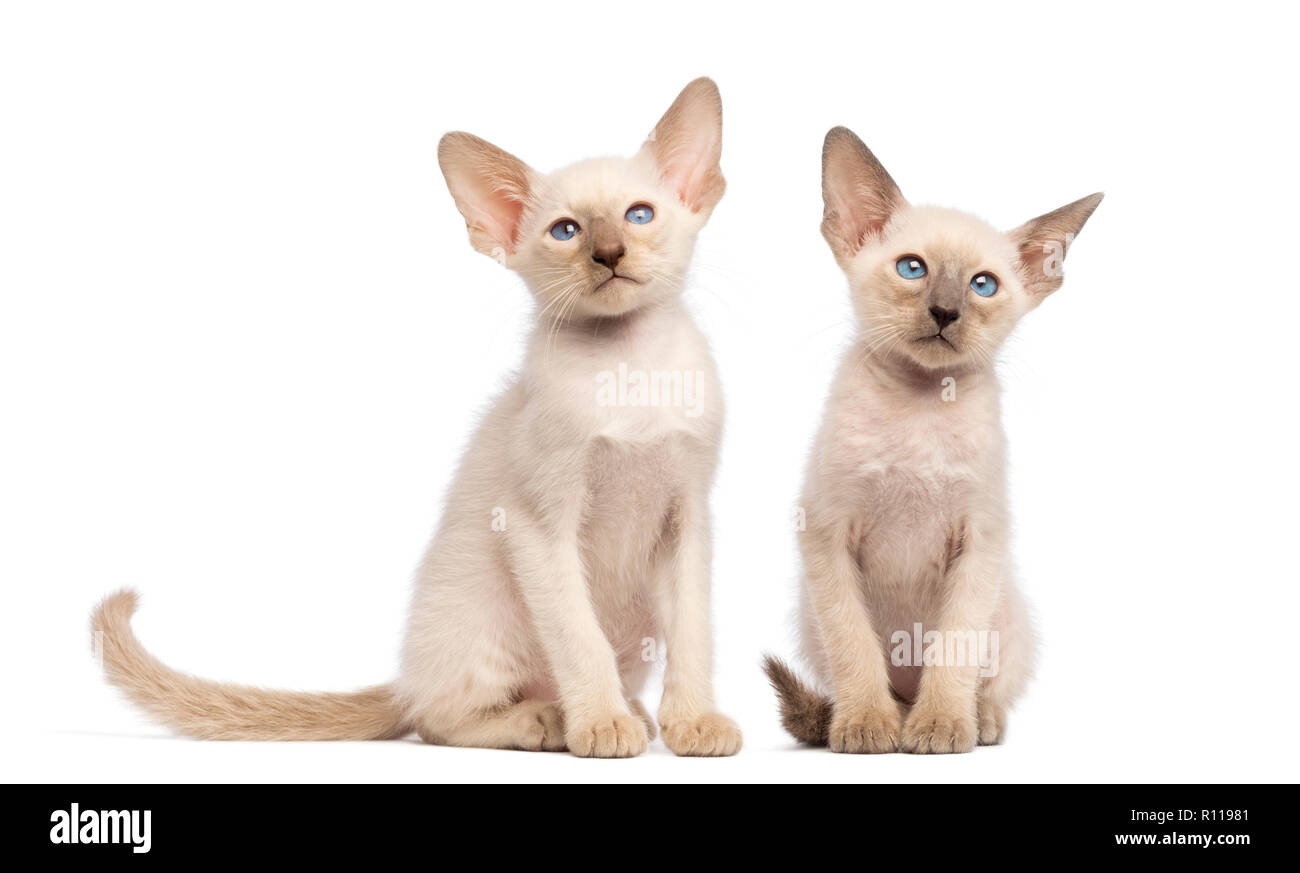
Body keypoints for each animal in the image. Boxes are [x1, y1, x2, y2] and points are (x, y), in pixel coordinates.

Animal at [89, 76, 743, 758]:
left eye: (639, 215)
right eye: (565, 230)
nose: (609, 252)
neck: (629, 372)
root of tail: (406, 676)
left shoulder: (688, 516)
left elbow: (694, 633)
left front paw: (695, 723)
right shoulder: (540, 521)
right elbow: (578, 637)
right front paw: (601, 726)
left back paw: (631, 713)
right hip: (482, 613)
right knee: (438, 717)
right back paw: (549, 720)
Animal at [764, 126, 1102, 753]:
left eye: (983, 285)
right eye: (912, 269)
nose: (945, 311)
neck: (920, 407)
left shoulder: (979, 541)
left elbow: (954, 649)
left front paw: (942, 726)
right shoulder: (826, 534)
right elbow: (855, 648)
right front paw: (866, 726)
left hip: (1011, 611)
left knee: (989, 683)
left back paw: (975, 720)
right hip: (807, 616)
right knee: (874, 681)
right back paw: (886, 718)